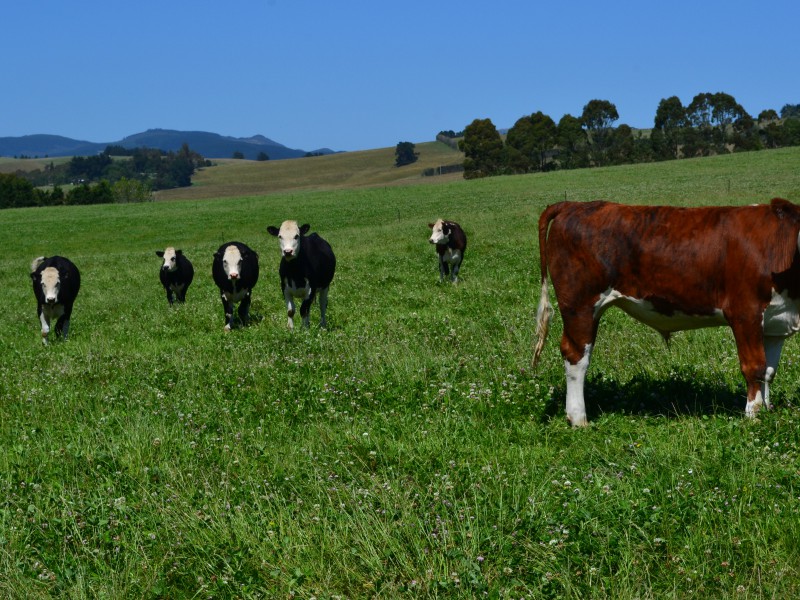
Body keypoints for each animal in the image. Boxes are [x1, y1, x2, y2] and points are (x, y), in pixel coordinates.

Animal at [536, 199, 800, 424]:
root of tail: (574, 205)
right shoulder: (745, 312)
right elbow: (754, 367)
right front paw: (753, 417)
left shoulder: (775, 322)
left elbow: (768, 370)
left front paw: (767, 410)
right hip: (579, 305)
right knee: (576, 356)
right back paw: (578, 419)